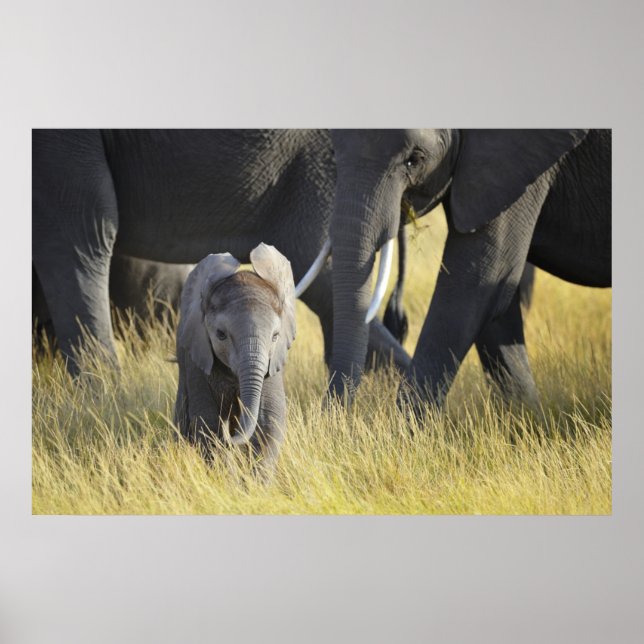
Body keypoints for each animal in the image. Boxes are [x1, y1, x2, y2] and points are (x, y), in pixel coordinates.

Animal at [174, 244, 295, 472]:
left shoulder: (272, 362)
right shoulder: (197, 357)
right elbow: (208, 421)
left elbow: (270, 418)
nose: (232, 437)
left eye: (275, 336)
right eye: (221, 335)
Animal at [327, 129, 611, 408]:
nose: (340, 413)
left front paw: (405, 423)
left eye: (414, 160)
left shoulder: (517, 163)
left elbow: (476, 280)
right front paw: (525, 418)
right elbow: (494, 303)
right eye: (334, 153)